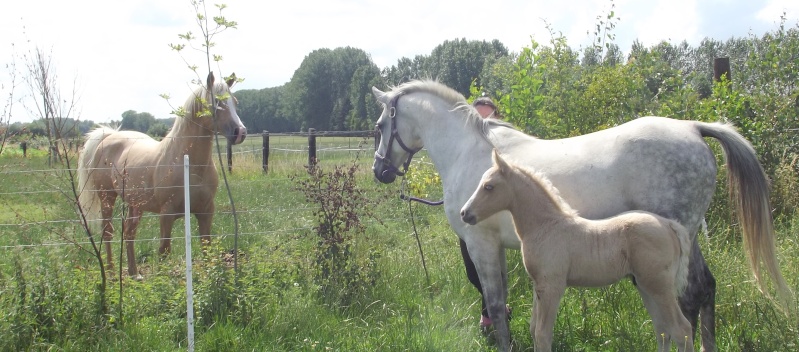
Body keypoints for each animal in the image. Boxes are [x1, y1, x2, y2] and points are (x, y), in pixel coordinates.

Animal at [79, 72, 247, 280]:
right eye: (216, 101)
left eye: (234, 101)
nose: (240, 132)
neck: (189, 165)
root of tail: (109, 136)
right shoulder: (167, 214)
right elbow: (164, 250)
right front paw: (163, 282)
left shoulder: (206, 211)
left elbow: (206, 247)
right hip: (107, 197)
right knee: (108, 232)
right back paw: (110, 273)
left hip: (136, 205)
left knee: (129, 233)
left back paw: (135, 273)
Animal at [460, 150, 696, 350]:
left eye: (489, 186)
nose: (465, 213)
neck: (545, 226)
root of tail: (669, 224)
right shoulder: (539, 286)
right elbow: (534, 328)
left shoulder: (552, 286)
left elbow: (542, 333)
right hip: (645, 285)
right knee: (663, 330)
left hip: (659, 285)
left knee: (681, 329)